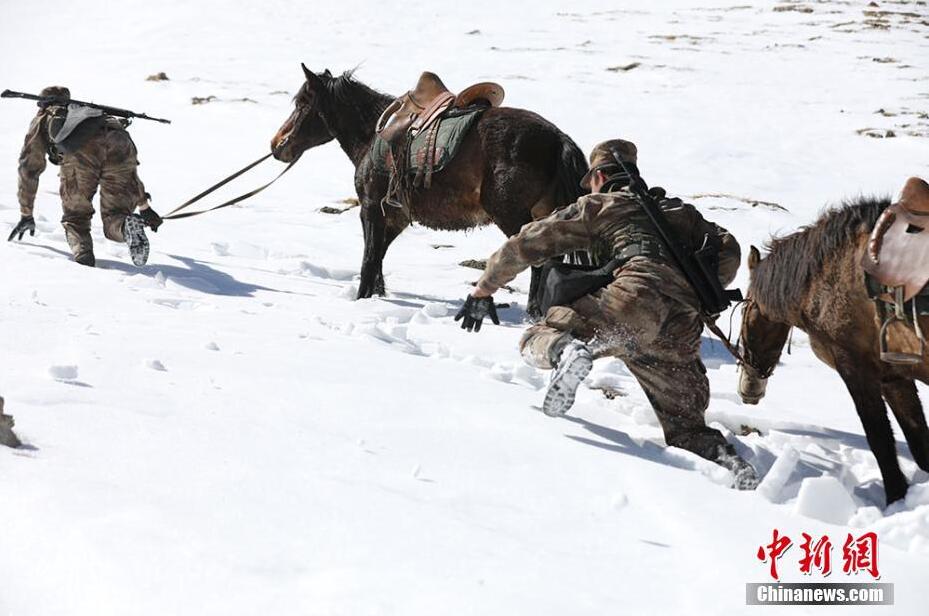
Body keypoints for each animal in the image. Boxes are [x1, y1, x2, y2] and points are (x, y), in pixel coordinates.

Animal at [270, 66, 588, 318]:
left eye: (302, 103)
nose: (277, 145)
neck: (373, 135)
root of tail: (558, 139)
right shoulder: (394, 218)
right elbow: (378, 257)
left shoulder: (371, 209)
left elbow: (369, 259)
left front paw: (362, 299)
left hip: (511, 216)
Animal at [740, 194, 928, 506]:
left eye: (745, 309)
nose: (749, 388)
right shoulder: (894, 377)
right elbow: (918, 438)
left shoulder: (855, 367)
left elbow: (880, 439)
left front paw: (896, 499)